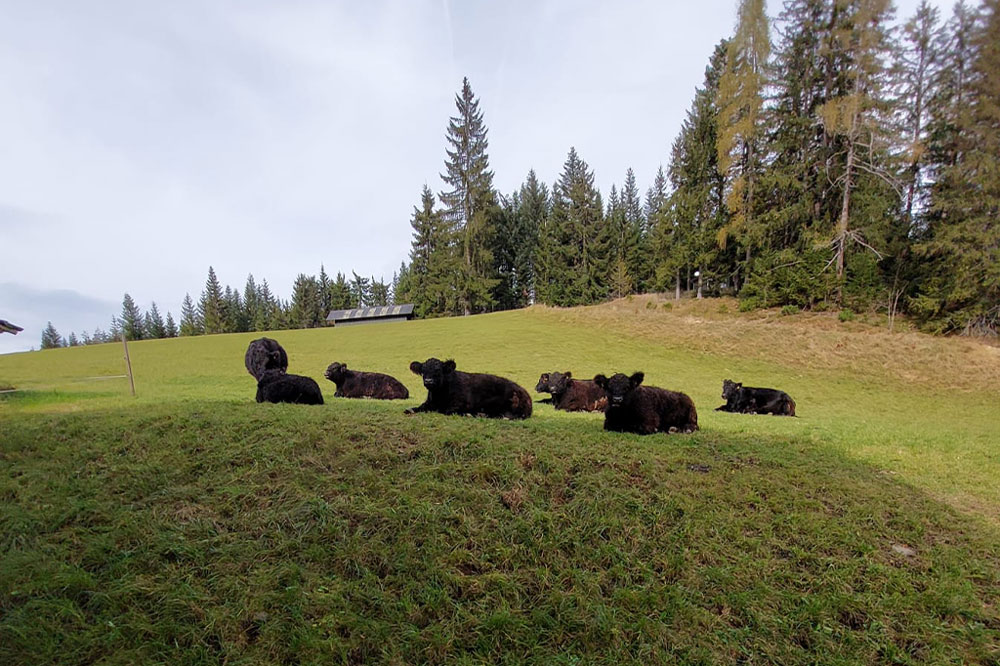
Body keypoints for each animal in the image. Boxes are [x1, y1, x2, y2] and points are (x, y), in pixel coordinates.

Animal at [404, 356, 536, 418]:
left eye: (438, 370)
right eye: (423, 371)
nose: (428, 381)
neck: (439, 397)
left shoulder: (459, 404)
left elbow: (448, 411)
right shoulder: (428, 403)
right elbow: (414, 409)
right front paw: (410, 410)